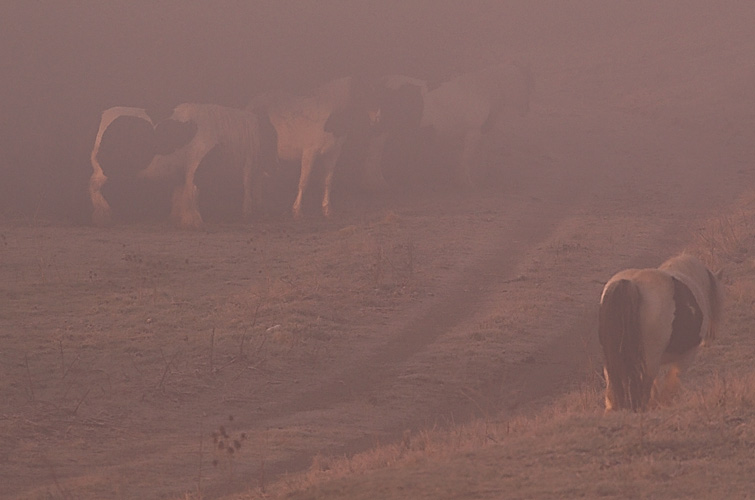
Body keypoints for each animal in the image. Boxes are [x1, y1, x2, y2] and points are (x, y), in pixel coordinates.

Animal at [89, 103, 262, 229]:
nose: (249, 215)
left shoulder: (182, 172)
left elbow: (180, 194)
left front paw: (178, 219)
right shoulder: (195, 166)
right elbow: (192, 192)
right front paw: (194, 221)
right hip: (104, 170)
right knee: (95, 188)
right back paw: (103, 217)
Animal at [247, 74, 378, 219]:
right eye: (362, 91)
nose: (377, 118)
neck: (328, 117)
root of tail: (251, 106)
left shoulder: (333, 153)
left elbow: (327, 181)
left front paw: (327, 209)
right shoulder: (310, 152)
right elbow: (304, 181)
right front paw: (297, 211)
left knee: (258, 176)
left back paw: (259, 207)